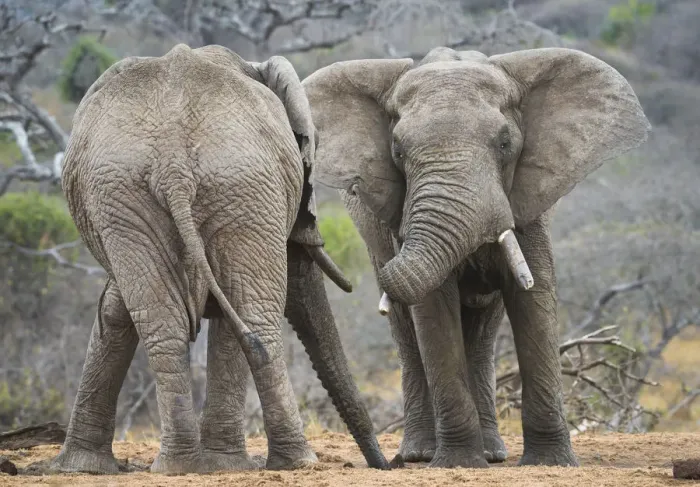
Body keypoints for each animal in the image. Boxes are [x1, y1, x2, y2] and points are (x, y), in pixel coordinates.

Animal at [52, 43, 389, 475]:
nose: (384, 464)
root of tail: (172, 164)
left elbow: (115, 309)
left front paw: (81, 468)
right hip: (228, 186)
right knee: (251, 314)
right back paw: (291, 463)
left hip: (139, 195)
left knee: (167, 321)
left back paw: (181, 465)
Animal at [302, 47, 650, 468]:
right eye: (397, 151)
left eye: (504, 144)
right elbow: (433, 308)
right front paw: (457, 464)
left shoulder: (527, 202)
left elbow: (535, 298)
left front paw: (551, 463)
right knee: (407, 331)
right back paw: (422, 453)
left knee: (484, 330)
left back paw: (492, 454)